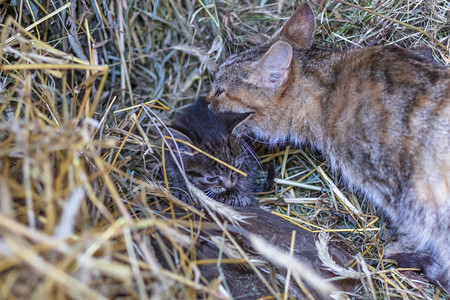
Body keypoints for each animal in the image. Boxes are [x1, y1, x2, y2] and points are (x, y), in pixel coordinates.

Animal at [207, 2, 450, 290]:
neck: (328, 88)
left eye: (220, 91)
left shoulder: (401, 193)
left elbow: (416, 230)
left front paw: (402, 249)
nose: (205, 101)